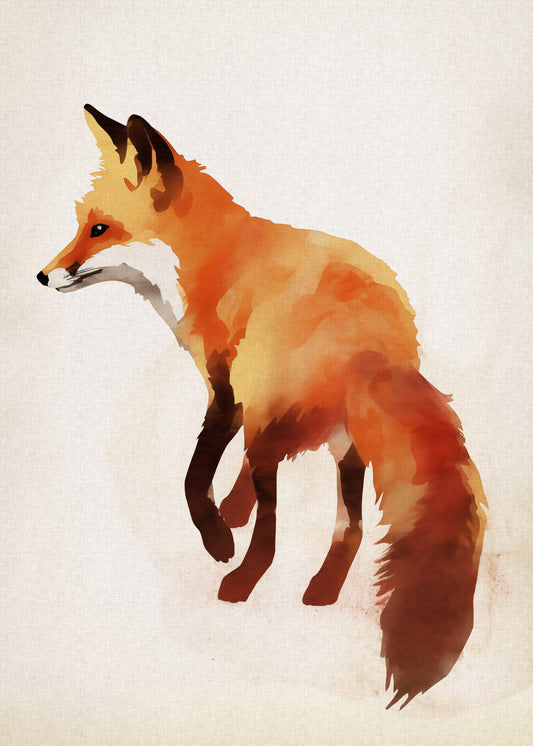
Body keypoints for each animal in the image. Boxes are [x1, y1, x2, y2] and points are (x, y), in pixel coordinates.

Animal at [37, 105, 487, 708]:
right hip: (345, 445)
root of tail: (372, 345)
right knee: (350, 528)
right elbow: (230, 476)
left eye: (101, 230)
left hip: (283, 421)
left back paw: (240, 581)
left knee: (274, 535)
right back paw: (322, 589)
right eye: (80, 224)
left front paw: (219, 536)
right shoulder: (248, 404)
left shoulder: (226, 388)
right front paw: (232, 510)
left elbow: (194, 476)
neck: (214, 260)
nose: (43, 275)